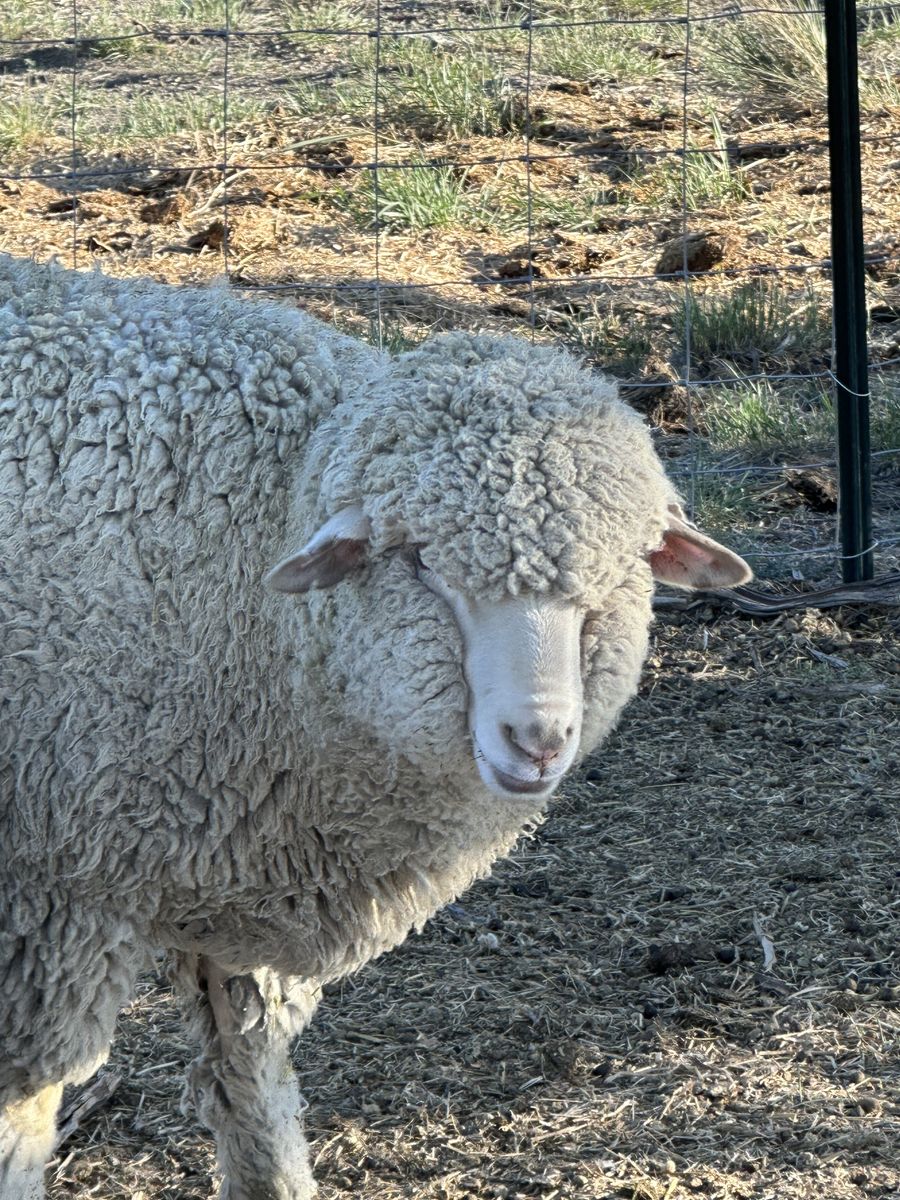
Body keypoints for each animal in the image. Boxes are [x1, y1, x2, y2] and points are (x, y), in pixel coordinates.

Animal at [0, 252, 751, 1200]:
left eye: (628, 568)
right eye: (421, 564)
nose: (538, 740)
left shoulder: (233, 869)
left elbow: (250, 1081)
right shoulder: (52, 901)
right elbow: (24, 1122)